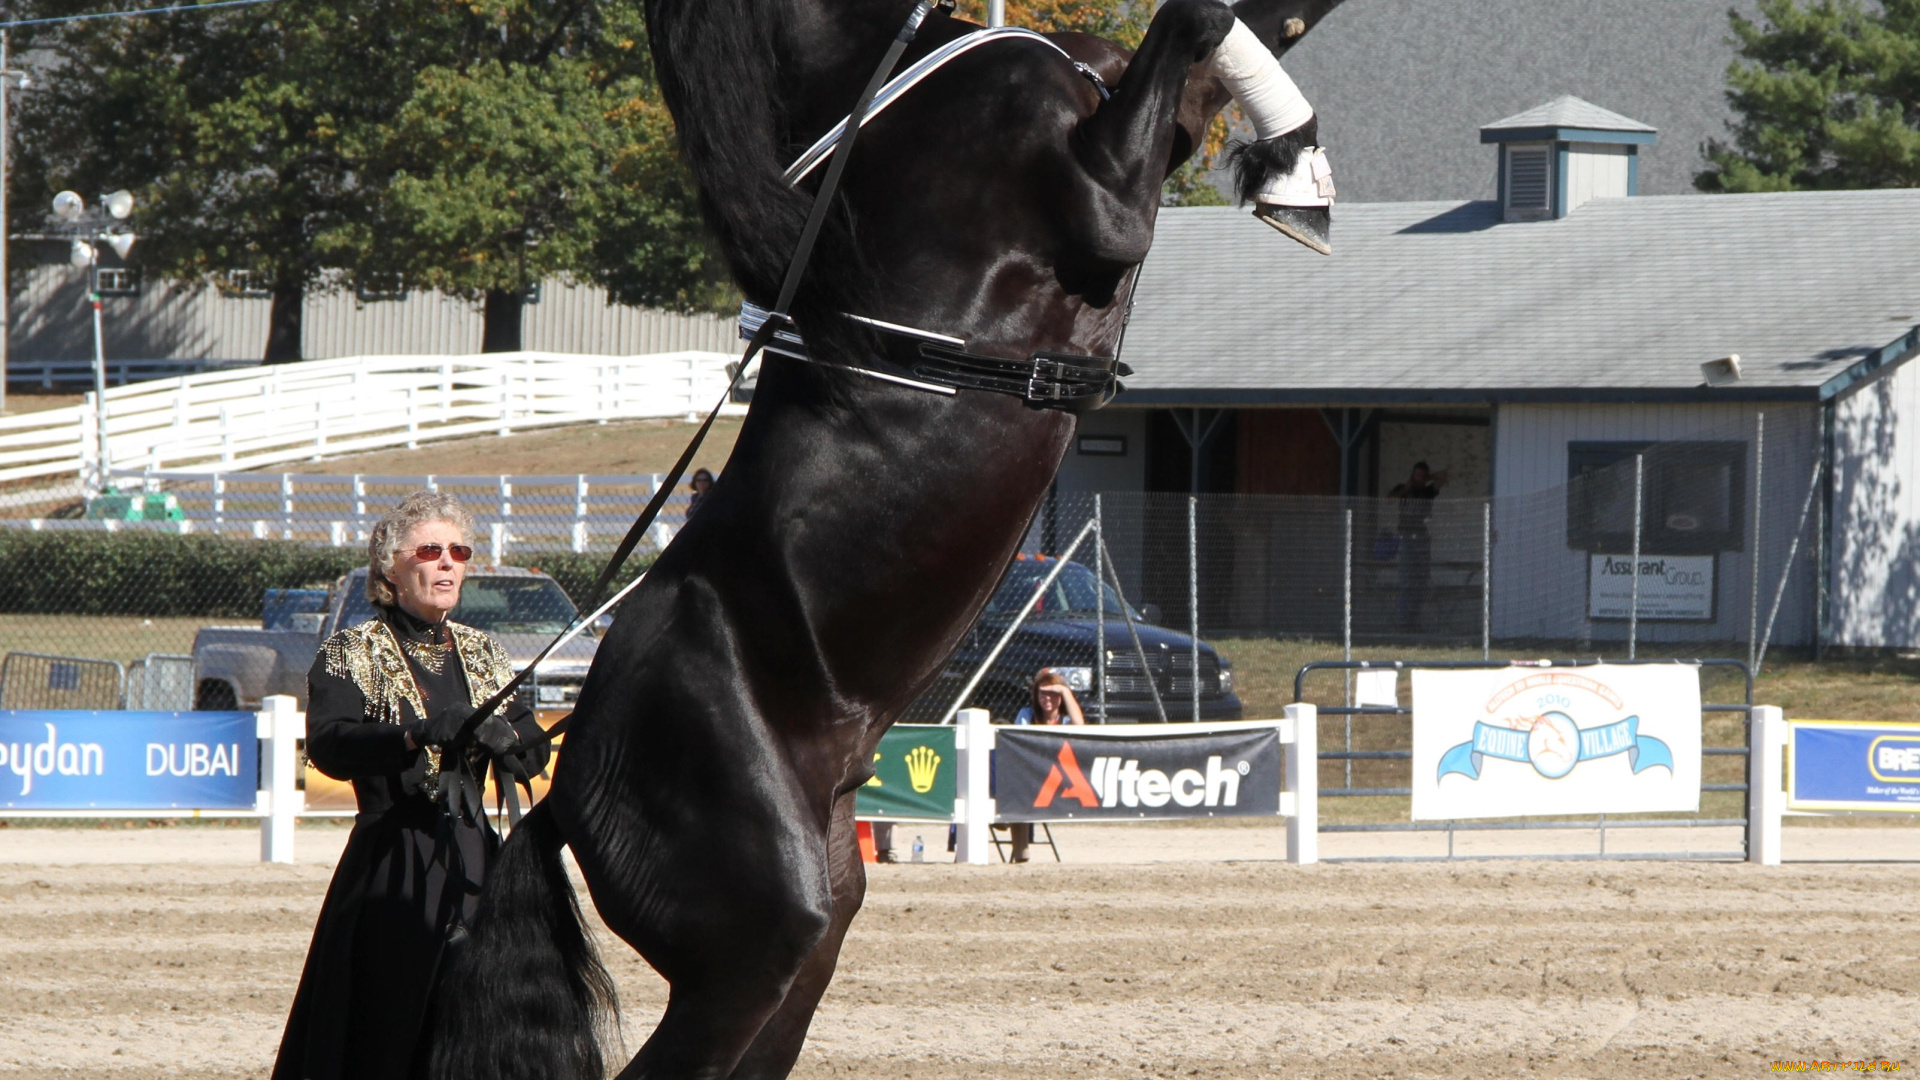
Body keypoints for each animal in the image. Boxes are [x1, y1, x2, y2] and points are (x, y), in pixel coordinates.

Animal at [427, 0, 1346, 1077]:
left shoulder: (1163, 125)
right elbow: (1192, 20)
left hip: (818, 924)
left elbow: (1248, 28)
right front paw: (1296, 179)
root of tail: (565, 785)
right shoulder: (1105, 201)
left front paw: (1294, 172)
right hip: (759, 937)